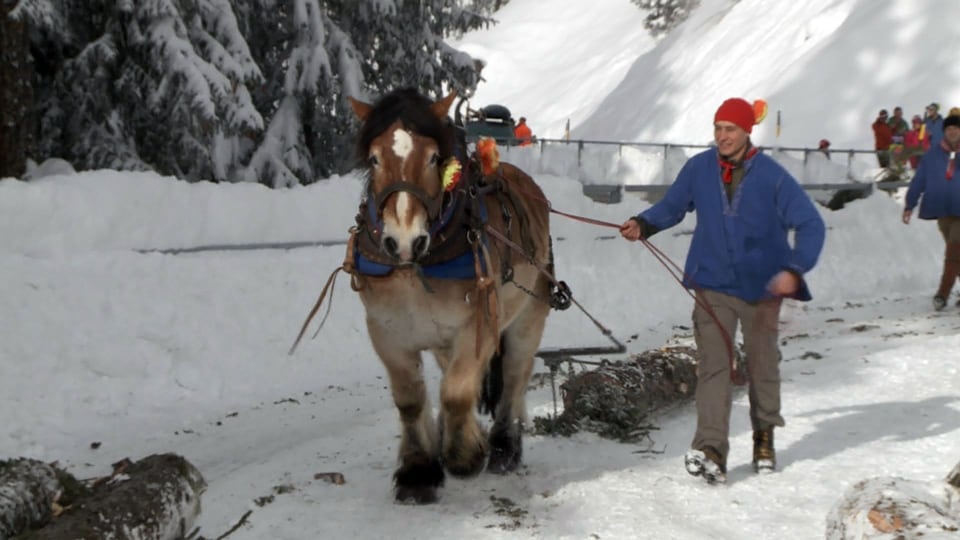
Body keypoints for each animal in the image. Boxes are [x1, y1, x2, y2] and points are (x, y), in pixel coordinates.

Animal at [344, 86, 560, 504]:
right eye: (375, 158)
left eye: (432, 157)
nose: (405, 241)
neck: (417, 268)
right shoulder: (387, 332)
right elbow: (411, 400)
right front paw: (418, 471)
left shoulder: (478, 325)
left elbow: (458, 392)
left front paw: (464, 456)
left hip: (528, 316)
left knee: (515, 375)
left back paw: (504, 448)